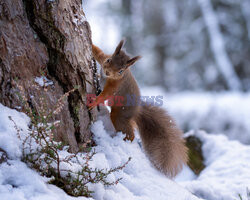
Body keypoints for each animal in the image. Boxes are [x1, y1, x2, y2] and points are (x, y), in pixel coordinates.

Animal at [90, 39, 188, 177]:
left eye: (121, 71)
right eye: (109, 60)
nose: (107, 72)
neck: (109, 77)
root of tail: (137, 111)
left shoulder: (116, 85)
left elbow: (106, 94)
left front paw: (94, 102)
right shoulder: (103, 57)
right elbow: (97, 52)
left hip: (120, 115)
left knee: (127, 131)